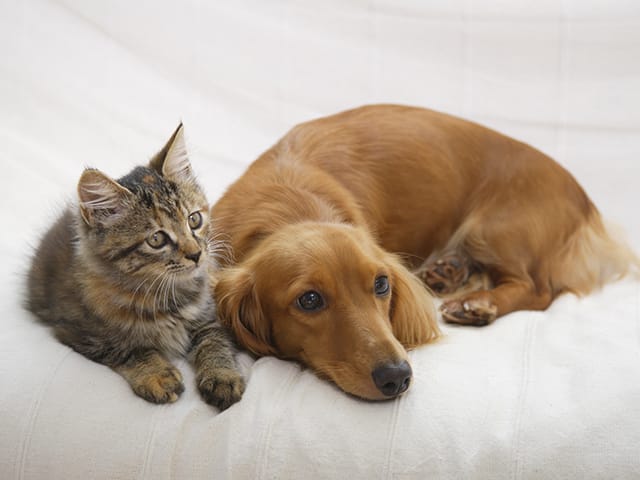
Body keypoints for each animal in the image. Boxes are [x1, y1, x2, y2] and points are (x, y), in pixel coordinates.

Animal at [26, 124, 244, 408]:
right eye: (156, 239)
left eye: (194, 220)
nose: (196, 254)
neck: (166, 295)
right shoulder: (78, 332)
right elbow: (128, 348)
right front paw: (157, 374)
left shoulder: (209, 316)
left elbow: (215, 341)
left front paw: (222, 376)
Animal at [210, 105, 636, 402]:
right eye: (309, 300)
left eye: (381, 285)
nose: (396, 376)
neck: (287, 201)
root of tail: (586, 201)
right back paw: (448, 273)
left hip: (493, 230)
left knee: (538, 288)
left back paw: (477, 303)